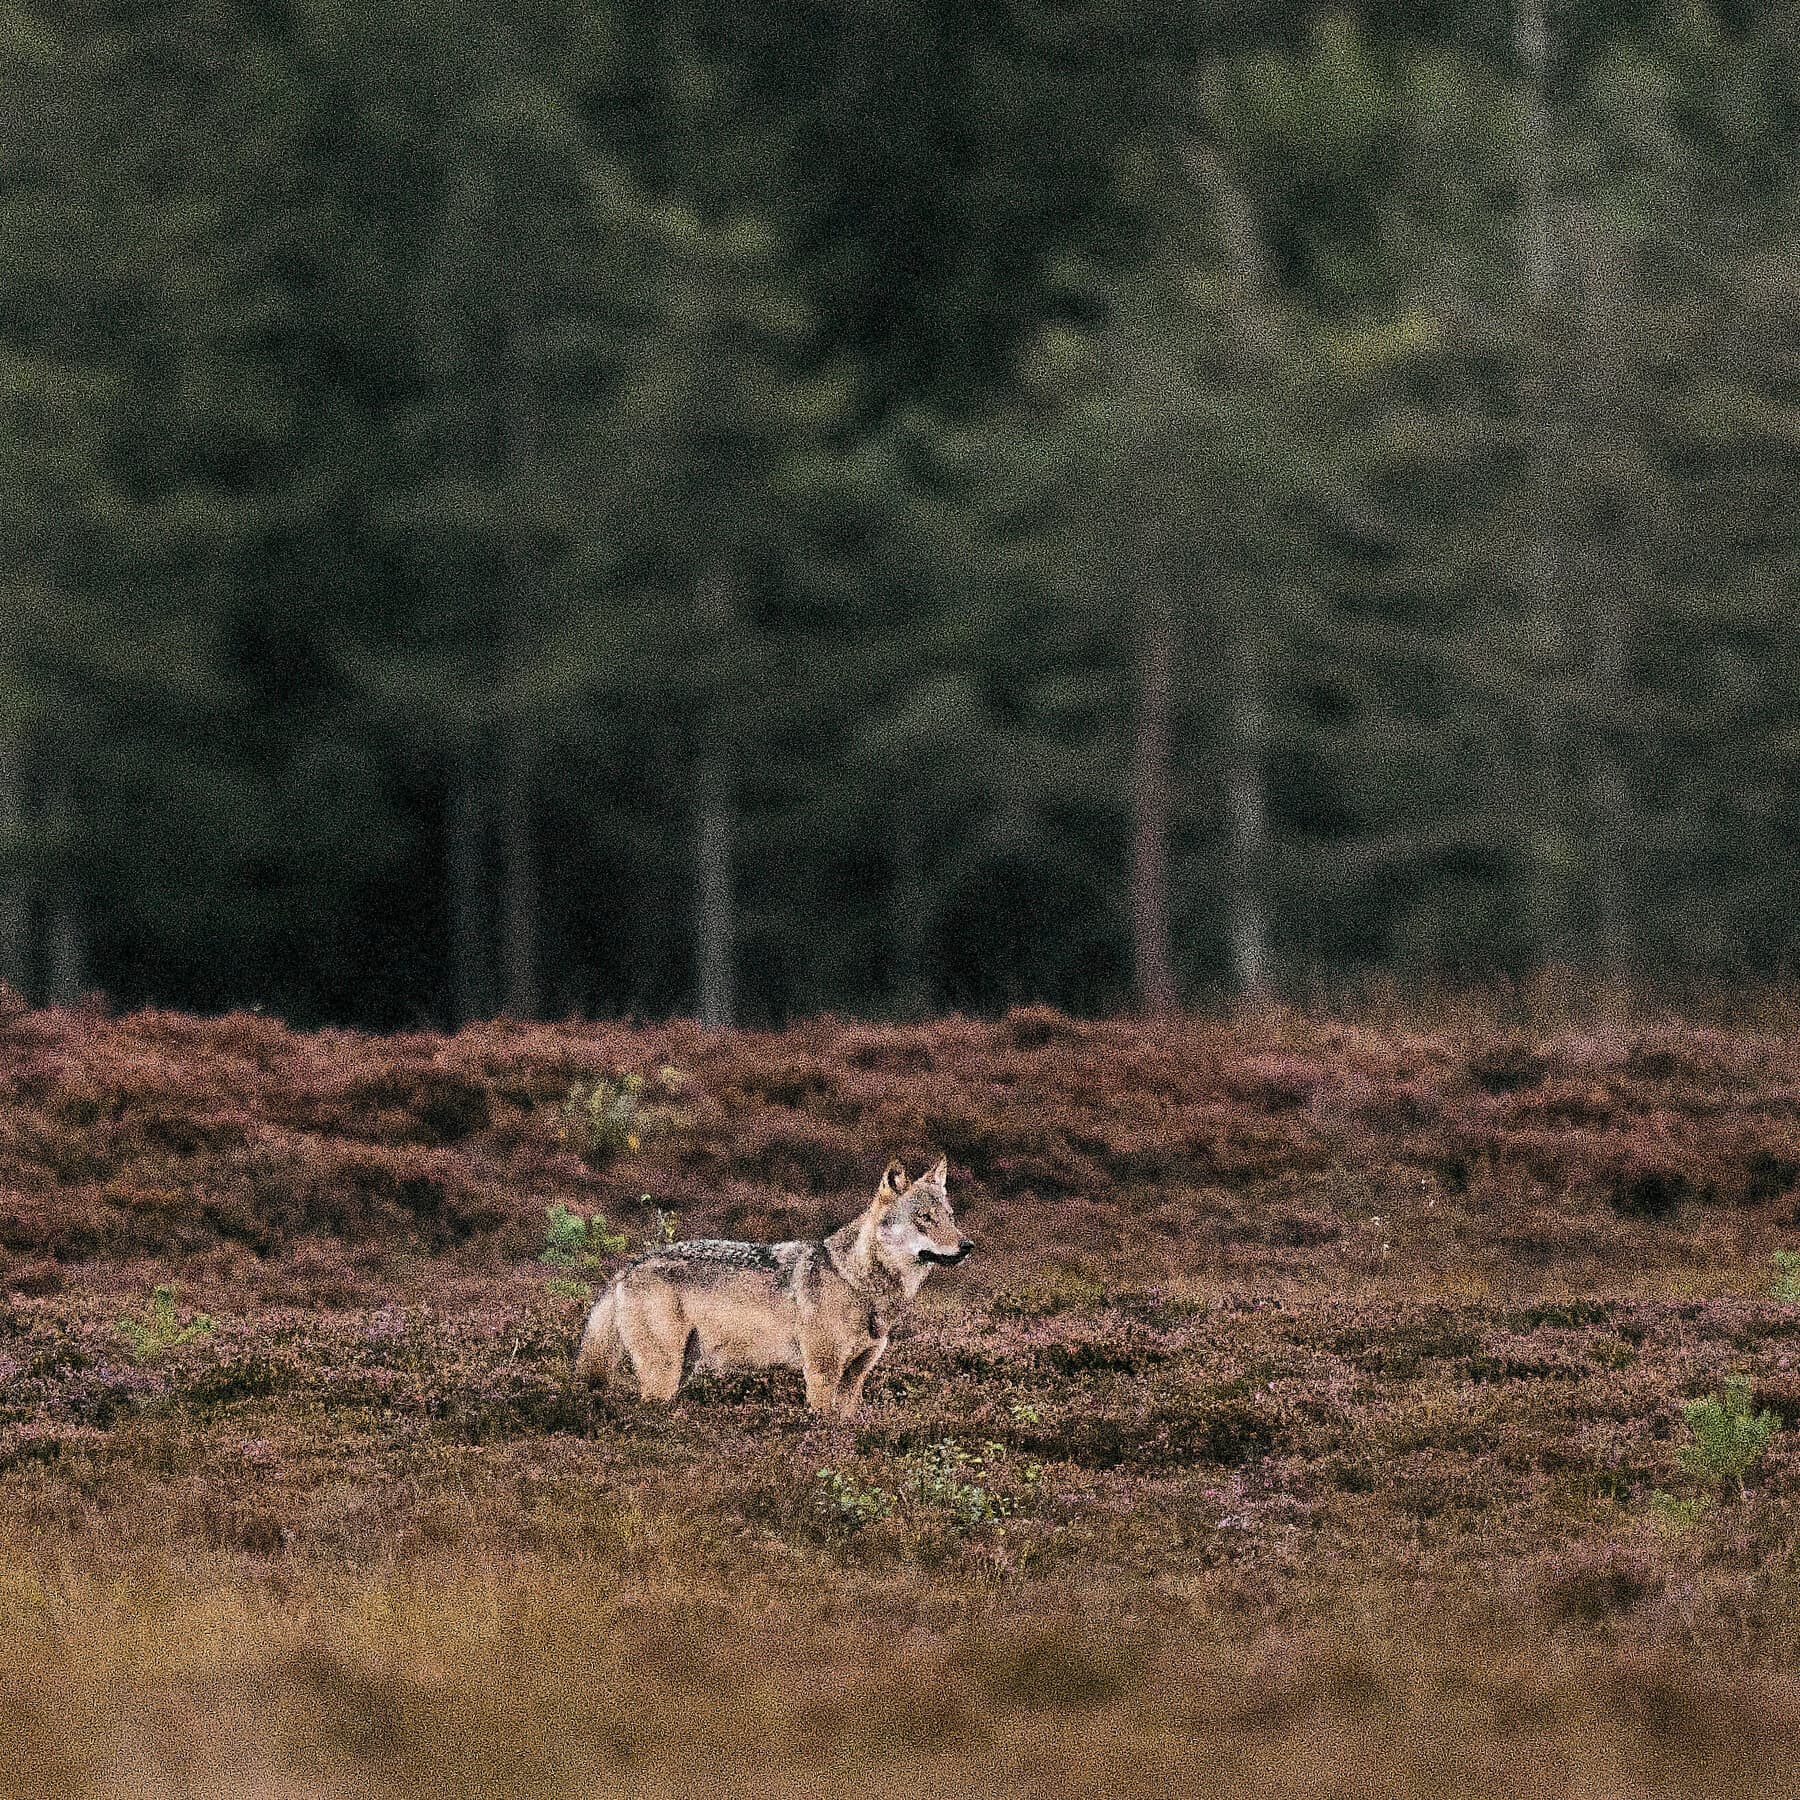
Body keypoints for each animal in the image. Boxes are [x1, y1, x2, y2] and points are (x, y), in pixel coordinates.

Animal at [572, 1156, 972, 1414]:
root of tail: (628, 1266)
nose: (967, 1246)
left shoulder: (854, 1380)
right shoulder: (821, 1374)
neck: (857, 1281)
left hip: (681, 1369)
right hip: (663, 1376)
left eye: (950, 1218)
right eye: (924, 1219)